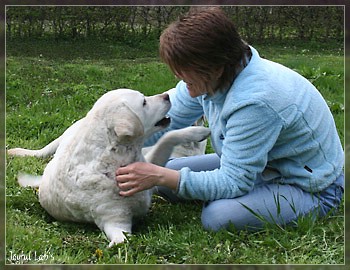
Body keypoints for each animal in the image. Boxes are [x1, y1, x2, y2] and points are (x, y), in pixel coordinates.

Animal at [7, 89, 211, 247]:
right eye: (144, 102)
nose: (167, 95)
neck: (114, 157)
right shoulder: (115, 221)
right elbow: (121, 241)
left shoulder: (150, 166)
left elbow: (167, 138)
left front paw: (198, 132)